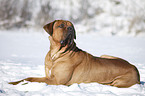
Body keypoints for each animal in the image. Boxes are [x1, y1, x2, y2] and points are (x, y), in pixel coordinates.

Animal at [8, 19, 140, 87]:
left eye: (72, 26)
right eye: (61, 25)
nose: (71, 29)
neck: (56, 55)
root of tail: (135, 68)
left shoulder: (56, 81)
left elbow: (32, 79)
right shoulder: (49, 76)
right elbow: (28, 78)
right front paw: (13, 82)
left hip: (119, 82)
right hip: (105, 55)